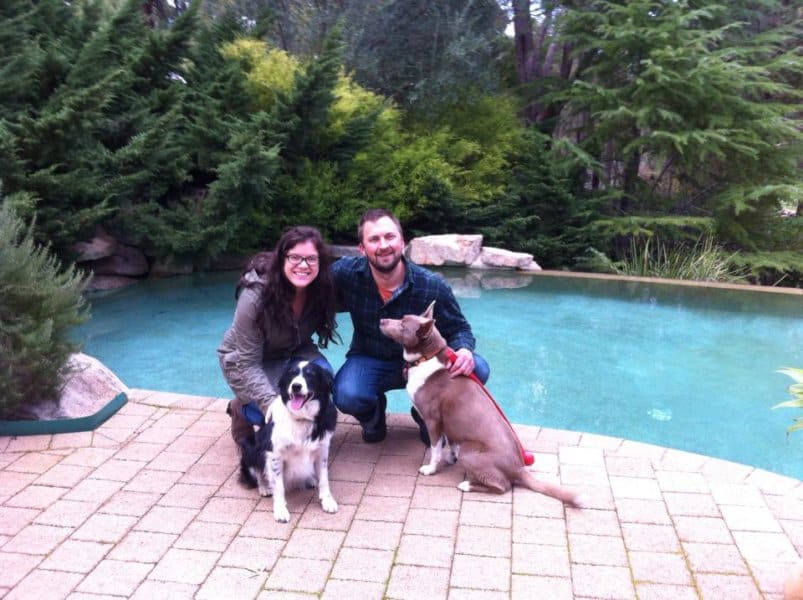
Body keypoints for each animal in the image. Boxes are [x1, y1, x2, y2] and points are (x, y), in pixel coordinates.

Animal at [239, 360, 340, 520]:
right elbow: (278, 486)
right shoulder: (275, 454)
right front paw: (280, 510)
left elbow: (324, 479)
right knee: (256, 472)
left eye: (310, 375)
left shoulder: (322, 450)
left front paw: (327, 501)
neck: (301, 418)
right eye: (291, 374)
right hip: (249, 446)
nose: (296, 386)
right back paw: (264, 487)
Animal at [382, 302, 584, 504]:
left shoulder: (433, 421)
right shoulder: (449, 423)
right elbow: (451, 443)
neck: (426, 358)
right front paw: (450, 459)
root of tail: (518, 468)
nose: (382, 320)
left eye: (403, 325)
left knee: (502, 486)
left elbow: (435, 449)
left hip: (470, 452)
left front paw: (430, 469)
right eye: (402, 318)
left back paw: (467, 485)